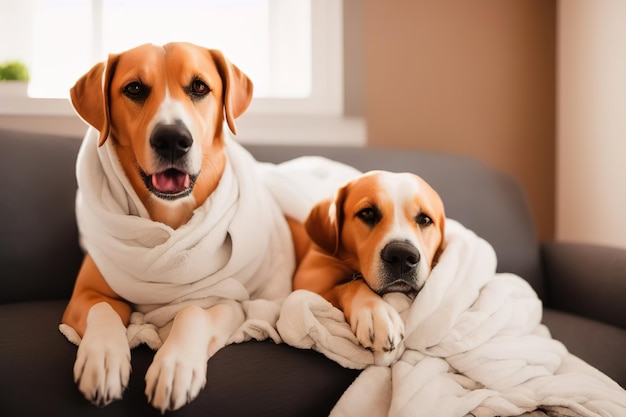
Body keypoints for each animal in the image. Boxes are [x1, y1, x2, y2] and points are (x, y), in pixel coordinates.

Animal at [60, 40, 308, 412]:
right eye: (134, 89)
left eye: (200, 87)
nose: (172, 139)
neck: (169, 219)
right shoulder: (83, 296)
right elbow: (103, 308)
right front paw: (102, 358)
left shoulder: (229, 302)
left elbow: (192, 312)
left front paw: (174, 367)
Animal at [292, 169, 444, 358]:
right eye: (368, 213)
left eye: (424, 219)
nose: (402, 255)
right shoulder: (308, 281)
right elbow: (351, 284)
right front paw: (374, 311)